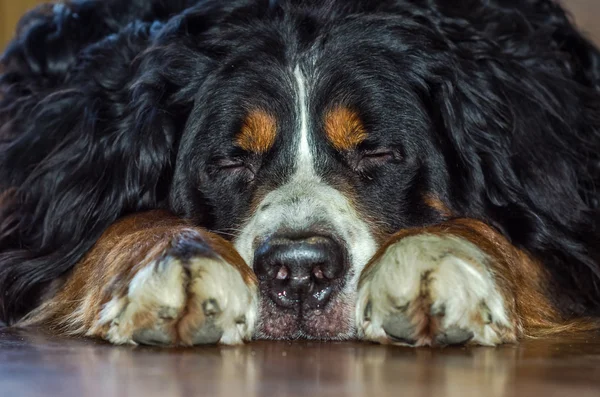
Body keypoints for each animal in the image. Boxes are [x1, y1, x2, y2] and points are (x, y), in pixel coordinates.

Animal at [1, 0, 600, 346]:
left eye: (378, 153)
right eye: (229, 160)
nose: (299, 271)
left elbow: (498, 236)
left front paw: (431, 258)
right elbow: (119, 227)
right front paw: (176, 265)